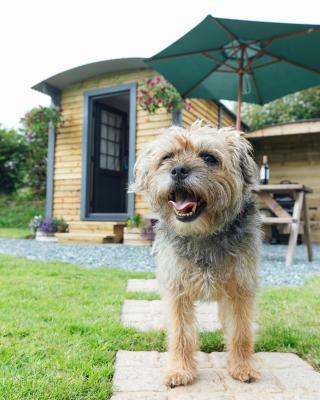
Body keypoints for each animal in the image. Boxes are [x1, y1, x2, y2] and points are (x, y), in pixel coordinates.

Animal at [131, 121, 262, 388]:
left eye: (209, 157)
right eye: (167, 157)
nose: (179, 170)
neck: (203, 235)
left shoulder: (241, 289)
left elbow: (241, 331)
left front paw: (243, 367)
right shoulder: (177, 290)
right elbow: (181, 333)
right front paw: (180, 370)